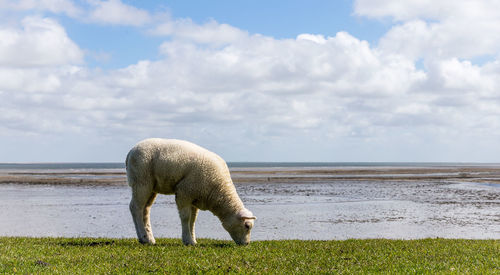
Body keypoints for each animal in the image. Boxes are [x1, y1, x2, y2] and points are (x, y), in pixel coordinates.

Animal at [125, 139, 258, 247]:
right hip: (141, 181)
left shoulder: (195, 197)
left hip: (151, 187)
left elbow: (193, 220)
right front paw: (187, 240)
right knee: (136, 208)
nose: (246, 244)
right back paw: (143, 237)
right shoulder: (184, 192)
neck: (219, 189)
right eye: (247, 226)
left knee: (145, 210)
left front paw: (193, 240)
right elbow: (186, 217)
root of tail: (131, 151)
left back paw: (150, 239)